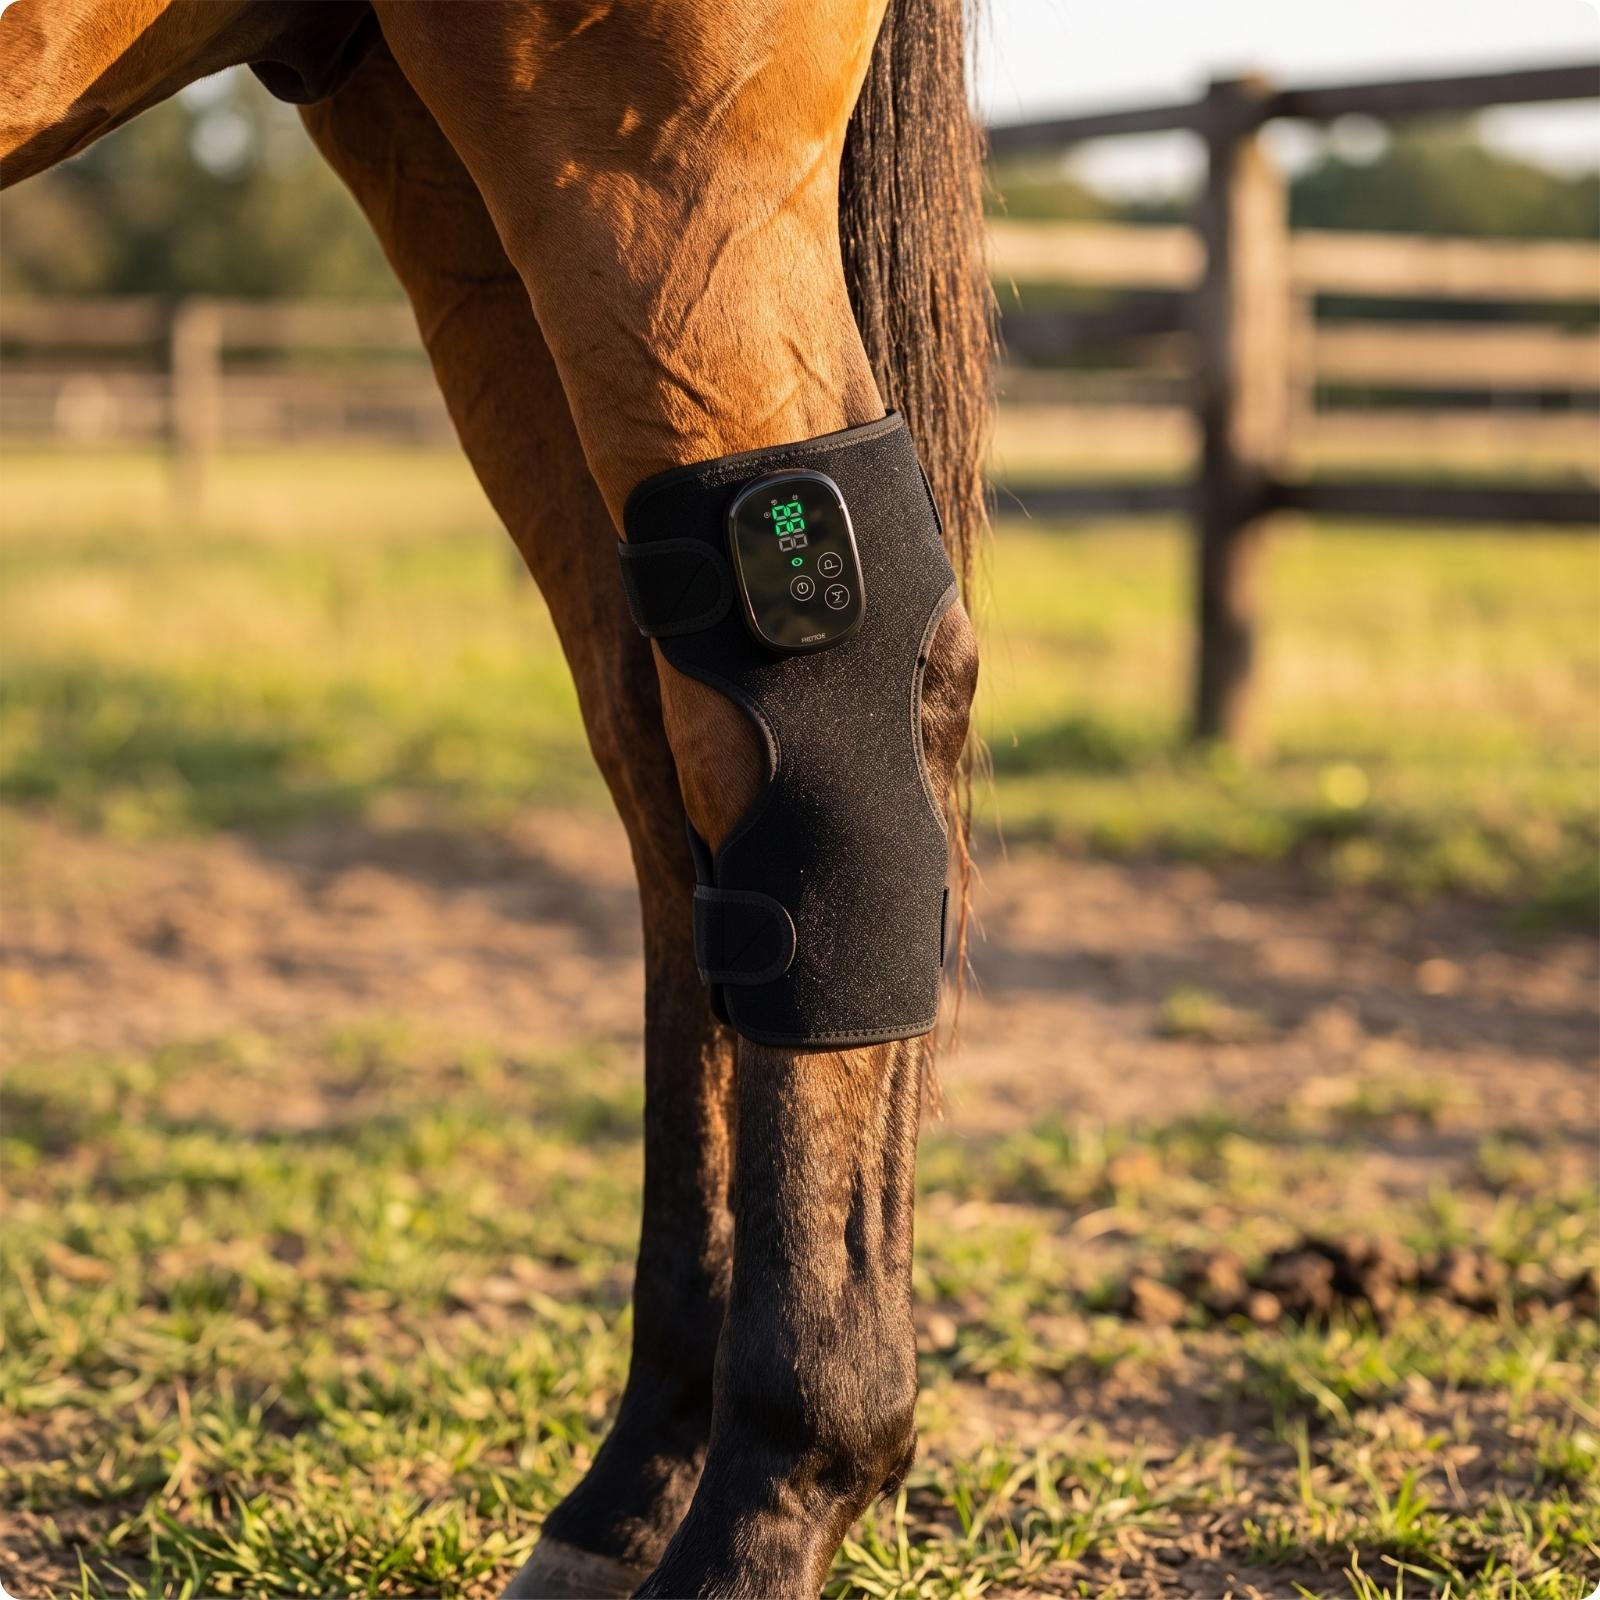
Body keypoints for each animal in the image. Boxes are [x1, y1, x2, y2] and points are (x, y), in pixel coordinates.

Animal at [0, 3, 990, 1594]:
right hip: (460, 196)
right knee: (667, 756)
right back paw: (633, 1486)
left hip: (652, 158)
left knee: (809, 693)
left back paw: (772, 1500)